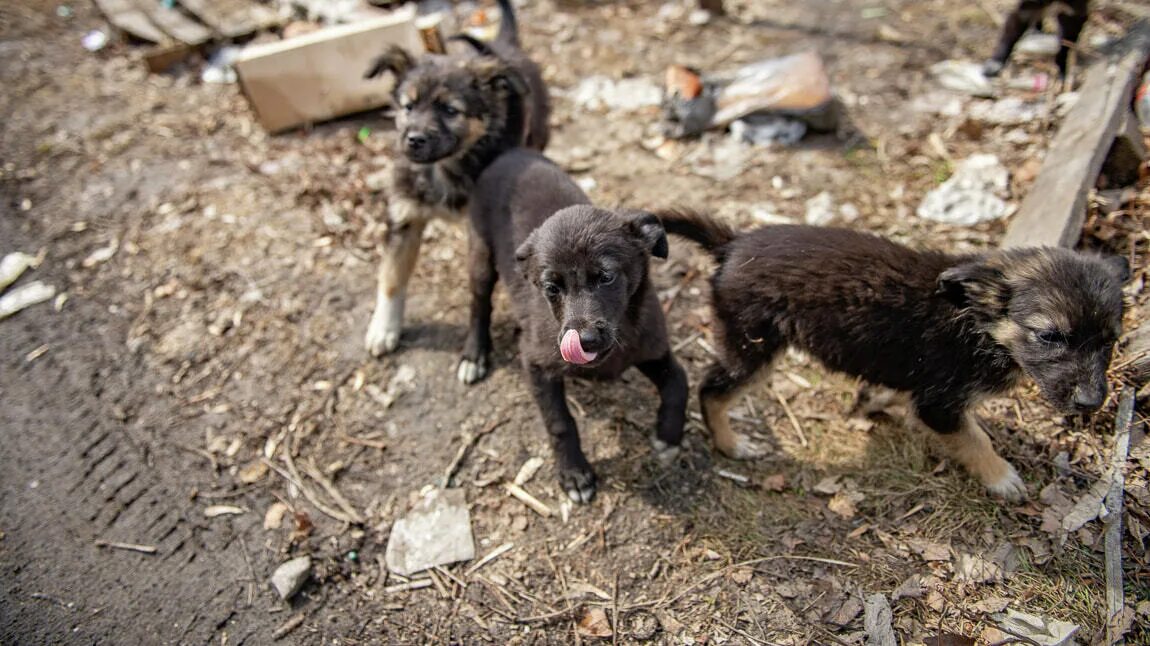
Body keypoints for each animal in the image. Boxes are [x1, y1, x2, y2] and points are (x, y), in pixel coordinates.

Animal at [365, 0, 549, 354]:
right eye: (408, 107)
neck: (445, 166)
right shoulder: (404, 218)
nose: (414, 140)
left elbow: (480, 289)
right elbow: (391, 275)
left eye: (451, 110)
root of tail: (505, 44)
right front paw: (383, 328)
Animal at [460, 148, 690, 501]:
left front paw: (668, 436)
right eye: (551, 288)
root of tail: (511, 152)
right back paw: (474, 354)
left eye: (606, 277)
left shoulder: (653, 349)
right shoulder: (537, 364)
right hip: (481, 254)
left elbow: (680, 381)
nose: (585, 340)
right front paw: (574, 473)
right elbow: (560, 422)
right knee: (478, 303)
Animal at [653, 209, 1127, 501]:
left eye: (1111, 341)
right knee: (711, 389)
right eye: (1050, 336)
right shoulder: (942, 405)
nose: (1091, 403)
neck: (979, 323)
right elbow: (976, 439)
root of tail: (731, 244)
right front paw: (1001, 476)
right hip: (752, 347)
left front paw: (871, 401)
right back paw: (730, 443)